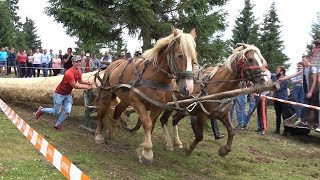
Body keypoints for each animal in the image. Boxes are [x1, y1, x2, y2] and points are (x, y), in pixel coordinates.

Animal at [94, 27, 198, 165]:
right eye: (180, 55)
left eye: (194, 57)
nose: (188, 88)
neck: (155, 77)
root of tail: (114, 63)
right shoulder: (136, 100)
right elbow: (147, 122)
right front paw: (147, 153)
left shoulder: (158, 106)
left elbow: (151, 124)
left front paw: (143, 148)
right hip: (107, 93)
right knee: (102, 110)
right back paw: (99, 134)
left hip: (125, 99)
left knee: (117, 110)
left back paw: (111, 131)